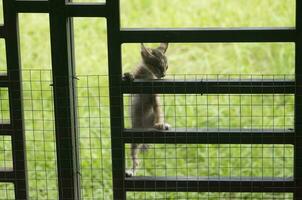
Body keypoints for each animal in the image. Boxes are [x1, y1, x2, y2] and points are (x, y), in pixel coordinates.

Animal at [122, 42, 170, 177]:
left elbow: (158, 111)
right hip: (135, 141)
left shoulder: (154, 97)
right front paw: (129, 76)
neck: (147, 75)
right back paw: (131, 171)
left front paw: (160, 124)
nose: (163, 75)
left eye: (166, 67)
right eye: (159, 67)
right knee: (135, 159)